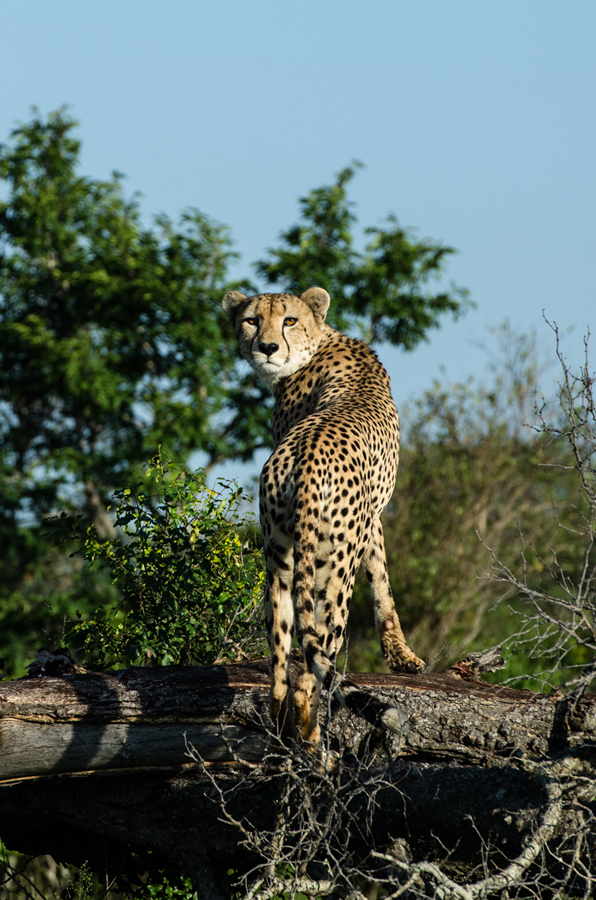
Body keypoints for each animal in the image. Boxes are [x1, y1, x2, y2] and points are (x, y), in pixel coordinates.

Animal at [222, 286, 424, 746]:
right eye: (252, 320)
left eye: (289, 320)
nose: (267, 347)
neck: (319, 342)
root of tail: (305, 459)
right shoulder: (368, 523)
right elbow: (380, 574)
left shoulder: (370, 519)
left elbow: (382, 576)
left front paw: (403, 657)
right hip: (333, 569)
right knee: (314, 666)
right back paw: (314, 739)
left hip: (279, 559)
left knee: (281, 665)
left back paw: (285, 734)